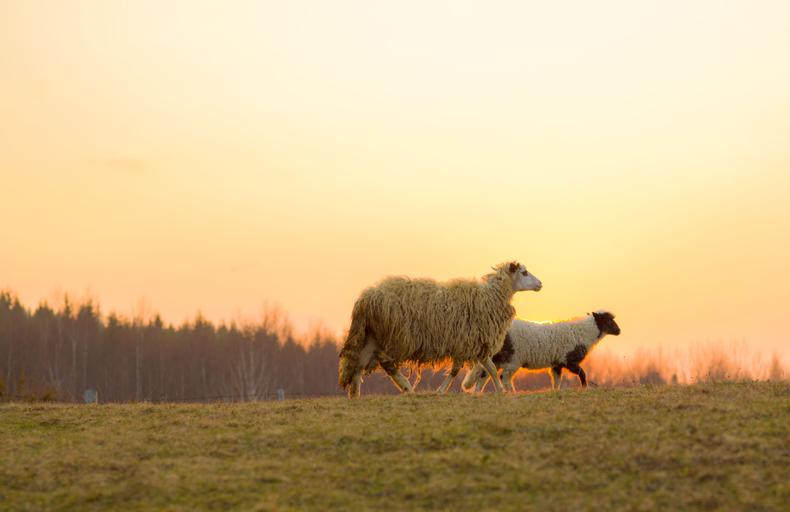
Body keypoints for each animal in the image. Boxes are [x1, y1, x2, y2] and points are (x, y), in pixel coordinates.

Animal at [340, 262, 544, 398]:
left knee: (359, 362)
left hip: (373, 335)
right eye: (524, 272)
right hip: (396, 337)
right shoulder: (466, 341)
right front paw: (440, 390)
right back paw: (407, 387)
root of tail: (365, 299)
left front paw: (501, 390)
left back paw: (354, 394)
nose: (540, 284)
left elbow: (491, 368)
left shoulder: (475, 342)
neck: (491, 296)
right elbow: (456, 371)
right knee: (385, 362)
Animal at [460, 310, 620, 394]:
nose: (619, 331)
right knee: (504, 377)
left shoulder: (557, 363)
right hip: (513, 358)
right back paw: (512, 393)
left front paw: (555, 390)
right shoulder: (569, 360)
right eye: (608, 321)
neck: (584, 333)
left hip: (497, 357)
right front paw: (585, 388)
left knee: (484, 374)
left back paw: (477, 393)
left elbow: (557, 379)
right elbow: (583, 373)